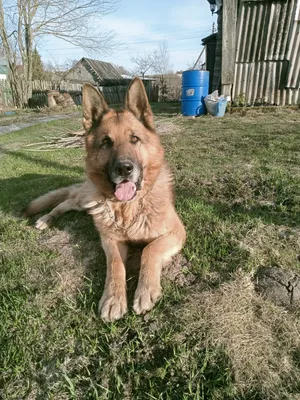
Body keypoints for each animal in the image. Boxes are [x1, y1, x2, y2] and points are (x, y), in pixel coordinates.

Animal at [24, 79, 186, 322]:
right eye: (106, 142)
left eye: (134, 139)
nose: (124, 169)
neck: (128, 207)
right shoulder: (110, 240)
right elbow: (116, 264)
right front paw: (113, 298)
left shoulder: (176, 232)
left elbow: (150, 250)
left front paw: (145, 289)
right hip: (84, 200)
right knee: (64, 202)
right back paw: (47, 218)